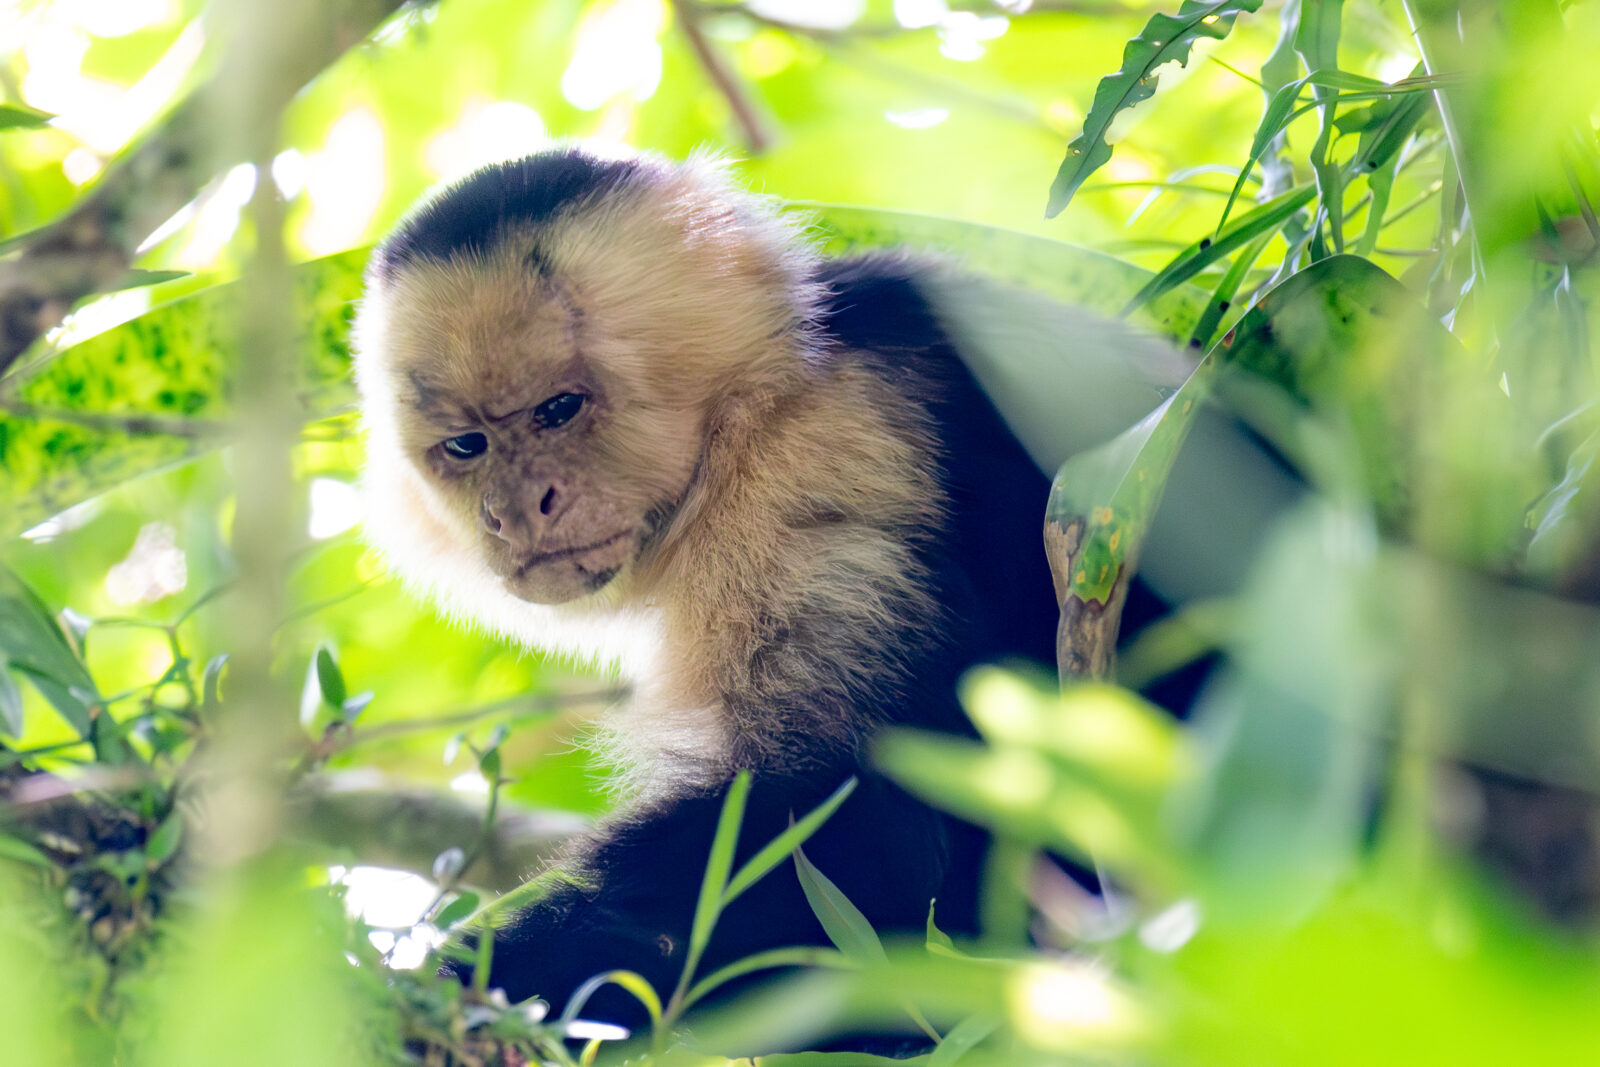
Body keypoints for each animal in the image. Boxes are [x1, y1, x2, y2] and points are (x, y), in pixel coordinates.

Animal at [351, 146, 1181, 1026]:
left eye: (559, 408)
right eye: (466, 445)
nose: (512, 511)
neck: (747, 412)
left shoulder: (819, 455)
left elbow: (861, 817)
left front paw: (480, 982)